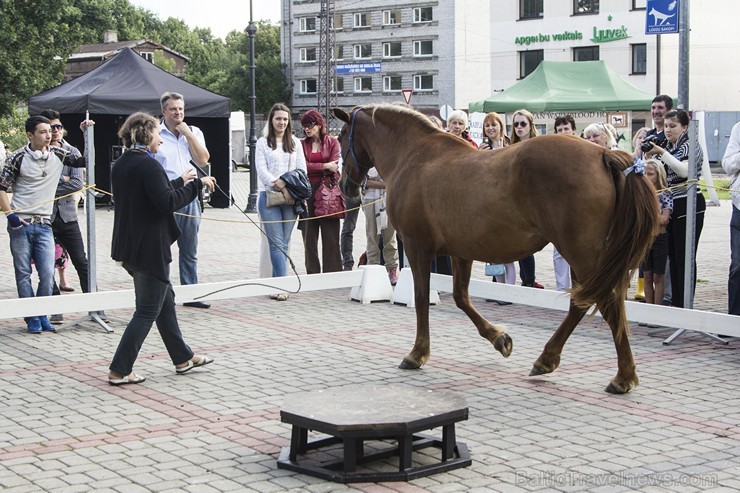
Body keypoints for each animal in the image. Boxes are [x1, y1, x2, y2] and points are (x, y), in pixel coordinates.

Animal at [336, 105, 660, 394]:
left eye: (340, 137)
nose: (345, 186)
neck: (415, 156)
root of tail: (602, 154)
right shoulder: (462, 251)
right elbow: (461, 297)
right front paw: (499, 339)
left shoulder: (418, 248)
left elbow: (421, 297)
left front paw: (417, 353)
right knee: (588, 301)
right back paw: (549, 360)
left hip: (580, 251)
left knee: (605, 301)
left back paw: (622, 377)